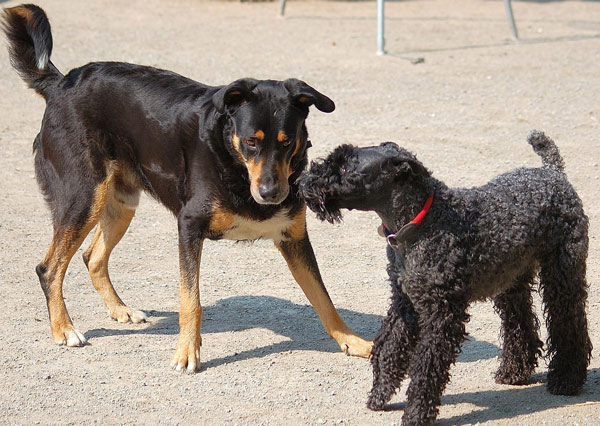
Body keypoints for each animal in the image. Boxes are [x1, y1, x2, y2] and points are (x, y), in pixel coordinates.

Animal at [2, 3, 372, 372]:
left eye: (287, 141)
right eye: (251, 141)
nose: (271, 194)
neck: (233, 162)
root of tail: (63, 83)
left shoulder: (293, 238)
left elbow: (324, 298)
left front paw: (351, 341)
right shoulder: (189, 227)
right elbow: (190, 301)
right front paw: (187, 352)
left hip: (120, 204)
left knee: (92, 257)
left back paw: (120, 310)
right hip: (84, 199)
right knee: (49, 268)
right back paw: (64, 329)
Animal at [300, 131, 592, 426]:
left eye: (345, 168)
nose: (303, 182)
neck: (422, 223)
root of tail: (553, 173)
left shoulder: (441, 314)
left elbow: (426, 366)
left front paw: (416, 413)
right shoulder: (405, 302)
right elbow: (389, 349)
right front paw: (380, 393)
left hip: (561, 277)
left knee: (570, 324)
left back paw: (567, 379)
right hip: (511, 283)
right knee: (520, 325)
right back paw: (514, 372)